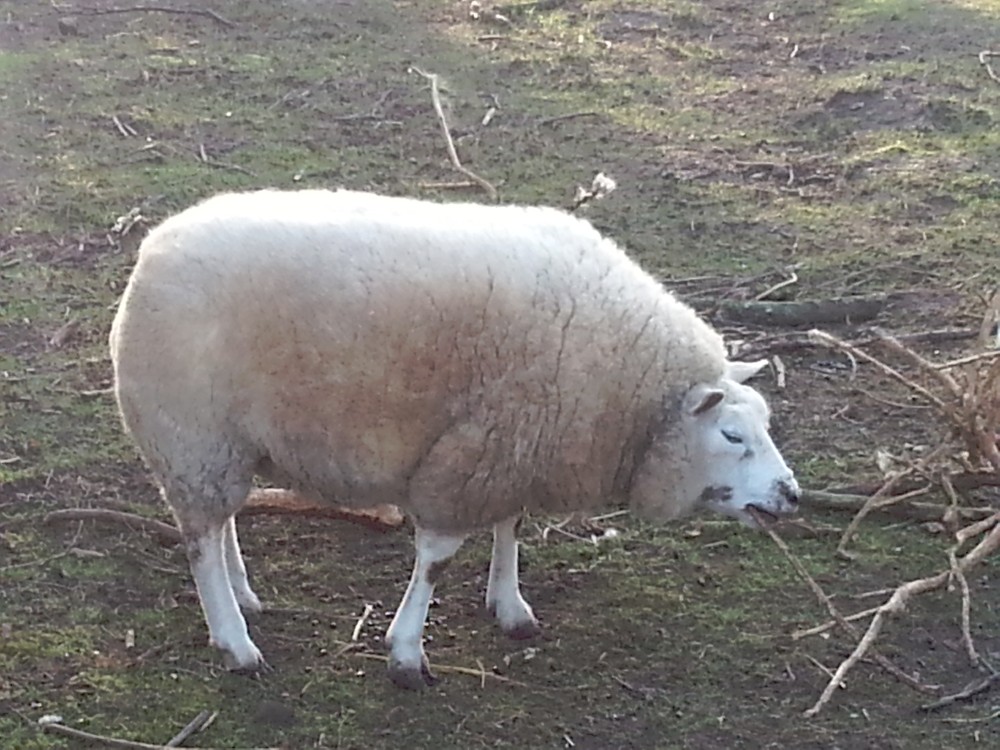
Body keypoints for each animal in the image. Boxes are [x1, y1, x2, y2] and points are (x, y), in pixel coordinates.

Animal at [107, 191, 796, 692]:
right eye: (732, 434)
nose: (791, 495)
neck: (634, 402)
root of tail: (154, 248)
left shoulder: (513, 447)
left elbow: (510, 526)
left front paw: (509, 604)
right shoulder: (471, 457)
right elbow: (436, 560)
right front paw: (407, 651)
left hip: (224, 441)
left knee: (219, 521)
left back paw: (244, 596)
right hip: (190, 432)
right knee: (200, 540)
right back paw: (235, 640)